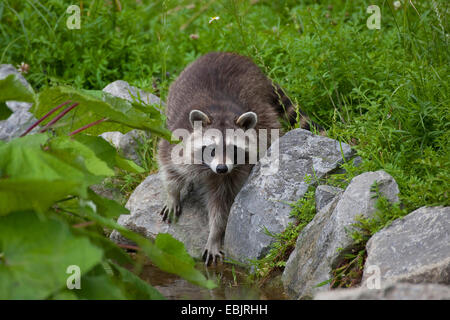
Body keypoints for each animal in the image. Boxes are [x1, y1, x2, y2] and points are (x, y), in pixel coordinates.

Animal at [157, 52, 320, 264]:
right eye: (211, 149)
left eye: (233, 149)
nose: (221, 168)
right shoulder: (176, 137)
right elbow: (169, 166)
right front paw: (172, 194)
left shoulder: (233, 172)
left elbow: (222, 203)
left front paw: (215, 234)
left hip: (264, 112)